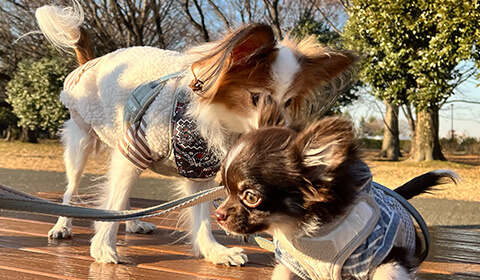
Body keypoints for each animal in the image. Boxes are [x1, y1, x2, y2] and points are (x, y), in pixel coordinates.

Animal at [34, 1, 356, 264]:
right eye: (256, 98)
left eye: (288, 103)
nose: (277, 132)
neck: (222, 122)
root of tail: (90, 61)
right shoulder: (134, 149)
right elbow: (112, 200)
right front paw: (103, 248)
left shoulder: (198, 169)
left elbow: (201, 216)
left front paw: (214, 251)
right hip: (81, 143)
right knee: (72, 189)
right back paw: (62, 226)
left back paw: (135, 223)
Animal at [217, 117, 458, 278]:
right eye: (225, 188)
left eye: (250, 197)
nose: (218, 215)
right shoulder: (293, 265)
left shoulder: (390, 258)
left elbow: (386, 272)